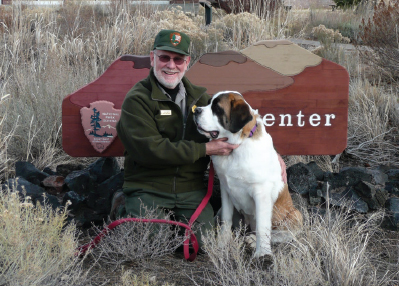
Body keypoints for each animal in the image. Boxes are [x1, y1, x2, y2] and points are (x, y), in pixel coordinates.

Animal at [194, 90, 304, 258]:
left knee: (283, 233)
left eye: (217, 109)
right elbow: (226, 219)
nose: (196, 110)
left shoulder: (261, 193)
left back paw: (253, 240)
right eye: (208, 103)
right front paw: (222, 244)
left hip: (296, 214)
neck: (237, 145)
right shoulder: (226, 189)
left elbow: (262, 227)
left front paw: (262, 253)